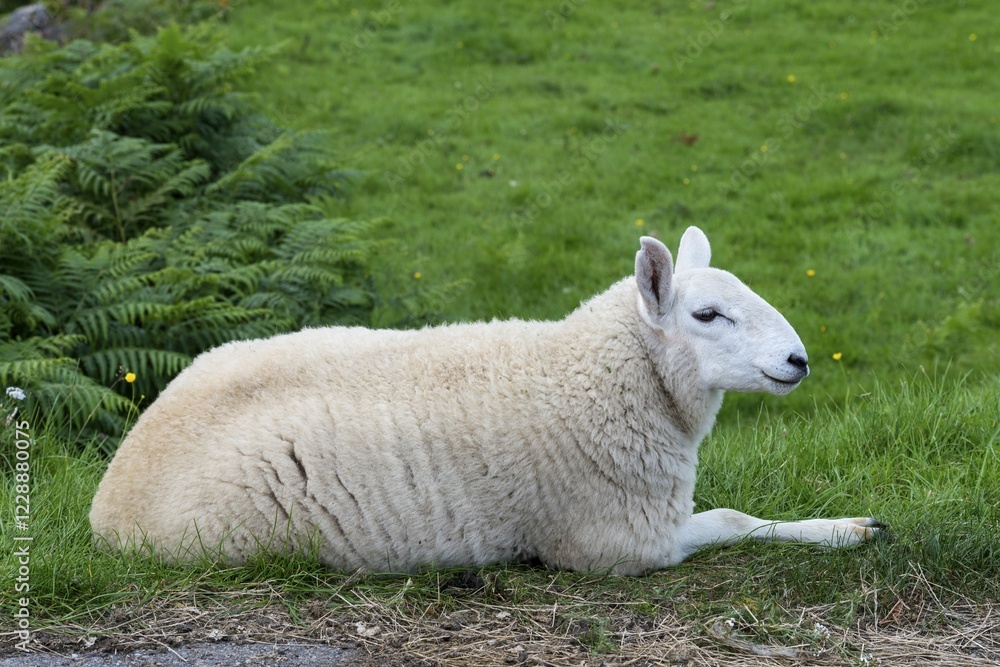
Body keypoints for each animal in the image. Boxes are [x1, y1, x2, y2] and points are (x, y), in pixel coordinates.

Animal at [89, 226, 885, 574]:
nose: (798, 360)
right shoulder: (614, 542)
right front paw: (844, 531)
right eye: (708, 315)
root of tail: (109, 493)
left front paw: (853, 525)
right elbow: (731, 521)